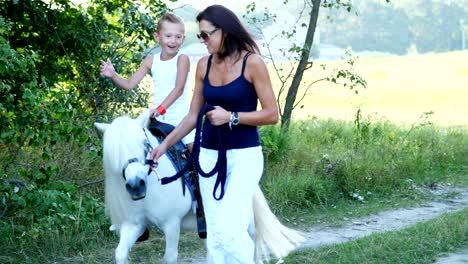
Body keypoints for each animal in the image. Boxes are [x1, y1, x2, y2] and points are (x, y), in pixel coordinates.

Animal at [95, 110, 306, 264]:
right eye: (113, 153)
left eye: (145, 144)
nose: (136, 185)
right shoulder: (134, 225)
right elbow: (120, 253)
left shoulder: (172, 224)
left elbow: (169, 258)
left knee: (249, 243)